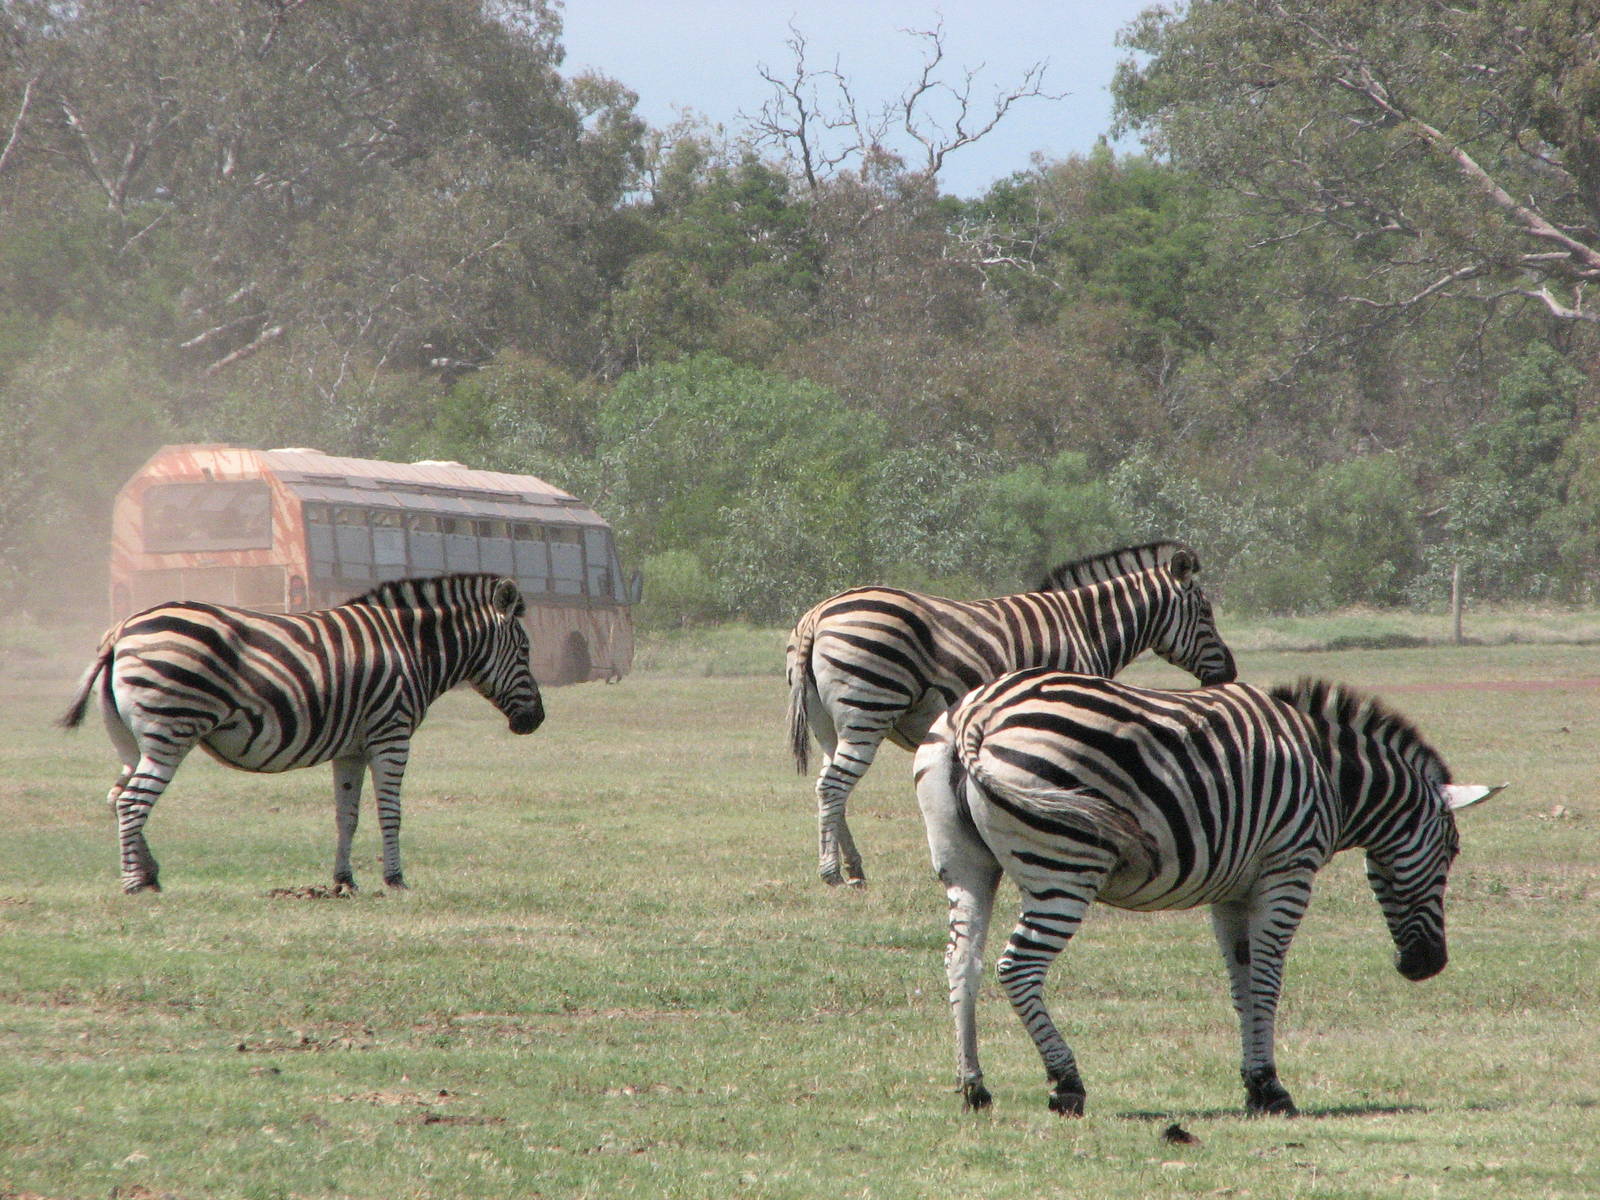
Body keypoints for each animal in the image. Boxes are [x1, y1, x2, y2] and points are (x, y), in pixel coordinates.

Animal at [59, 573, 545, 894]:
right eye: (525, 651)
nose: (536, 720)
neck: (411, 647)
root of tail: (120, 631)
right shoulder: (391, 733)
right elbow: (390, 813)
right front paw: (395, 880)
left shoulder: (352, 748)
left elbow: (347, 815)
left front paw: (344, 881)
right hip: (171, 730)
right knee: (133, 801)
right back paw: (134, 884)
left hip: (131, 740)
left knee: (117, 797)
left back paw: (149, 873)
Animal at [786, 542, 1237, 887]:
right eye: (1206, 614)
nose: (1229, 674)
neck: (1085, 630)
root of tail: (817, 615)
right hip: (869, 707)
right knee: (834, 787)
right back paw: (832, 873)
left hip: (829, 723)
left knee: (831, 787)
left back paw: (853, 869)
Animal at [912, 668, 1502, 1116]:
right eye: (1452, 851)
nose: (1427, 965)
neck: (1331, 777)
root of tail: (977, 715)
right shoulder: (1287, 871)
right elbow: (1267, 982)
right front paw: (1272, 1089)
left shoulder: (1232, 890)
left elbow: (1241, 983)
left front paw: (1253, 1084)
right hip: (1065, 867)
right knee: (1019, 968)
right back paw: (1066, 1085)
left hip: (967, 866)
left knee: (962, 962)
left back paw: (974, 1087)